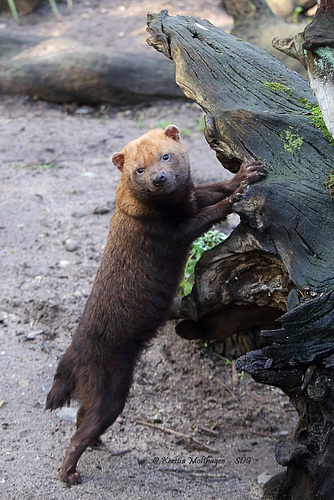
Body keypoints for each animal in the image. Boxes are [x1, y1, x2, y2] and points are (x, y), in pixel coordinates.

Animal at [46, 125, 266, 484]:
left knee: (81, 416)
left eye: (166, 155)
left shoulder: (191, 199)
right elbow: (204, 216)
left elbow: (210, 190)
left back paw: (97, 445)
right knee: (80, 431)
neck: (172, 207)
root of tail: (73, 354)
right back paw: (70, 473)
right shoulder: (170, 231)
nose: (159, 178)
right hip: (110, 387)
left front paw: (246, 174)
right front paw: (234, 200)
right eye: (139, 169)